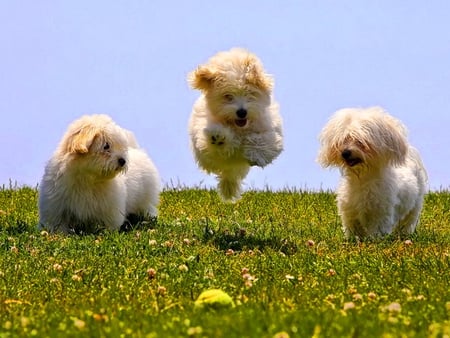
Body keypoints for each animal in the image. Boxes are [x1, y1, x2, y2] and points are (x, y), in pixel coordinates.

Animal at [188, 47, 284, 201]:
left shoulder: (269, 128)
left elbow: (263, 139)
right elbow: (216, 142)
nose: (241, 112)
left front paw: (256, 154)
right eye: (228, 96)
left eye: (249, 93)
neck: (240, 127)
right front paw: (219, 137)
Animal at [318, 107, 428, 239]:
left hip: (415, 206)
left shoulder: (381, 213)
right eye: (343, 140)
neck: (363, 179)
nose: (345, 153)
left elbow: (377, 230)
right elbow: (353, 229)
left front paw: (375, 240)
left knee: (408, 222)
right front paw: (354, 239)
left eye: (360, 142)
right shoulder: (350, 212)